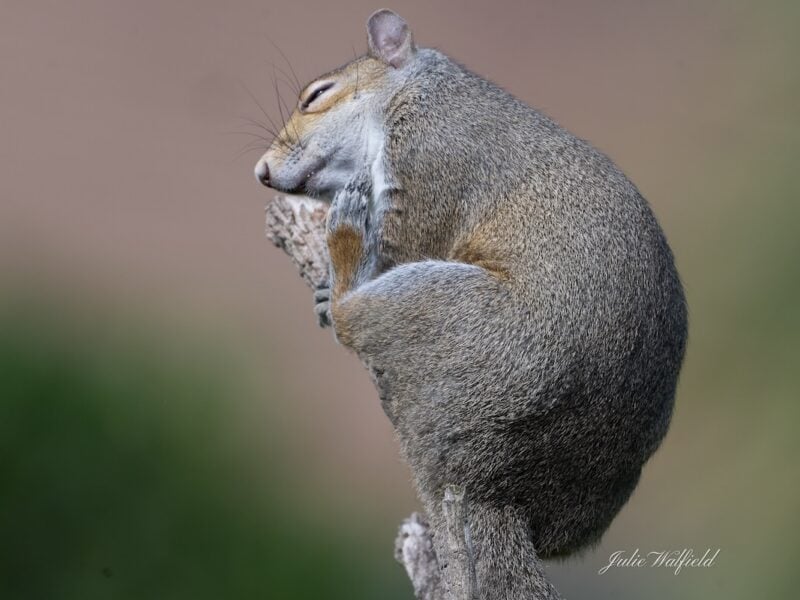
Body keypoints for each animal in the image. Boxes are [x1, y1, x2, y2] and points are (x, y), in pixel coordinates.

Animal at [255, 9, 687, 599]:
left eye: (316, 94)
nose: (261, 171)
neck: (416, 92)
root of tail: (495, 476)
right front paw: (319, 291)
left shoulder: (428, 164)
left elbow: (401, 248)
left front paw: (336, 275)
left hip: (433, 305)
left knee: (355, 318)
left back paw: (342, 244)